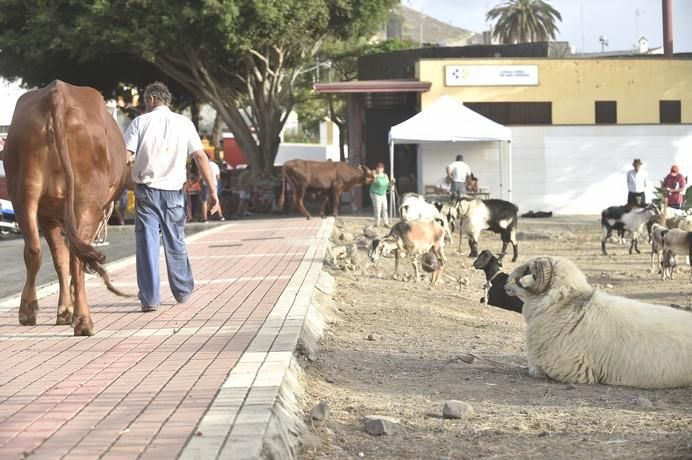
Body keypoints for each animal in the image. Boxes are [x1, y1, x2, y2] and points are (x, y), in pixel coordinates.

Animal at [3, 81, 130, 336]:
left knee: (35, 250)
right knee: (75, 260)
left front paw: (63, 311)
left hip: (24, 191)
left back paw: (28, 310)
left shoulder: (49, 215)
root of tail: (57, 93)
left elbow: (59, 258)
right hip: (87, 203)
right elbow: (67, 258)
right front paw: (67, 311)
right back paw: (83, 321)